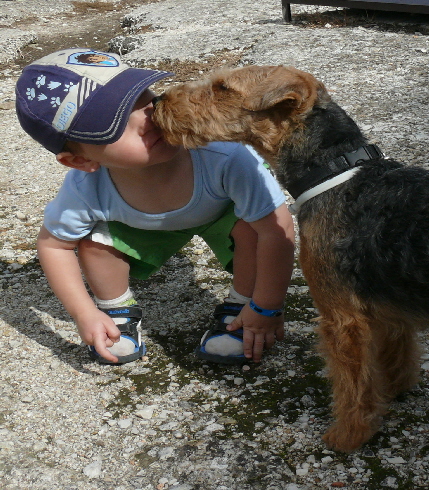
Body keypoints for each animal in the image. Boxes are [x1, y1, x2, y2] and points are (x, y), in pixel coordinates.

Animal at [151, 65, 428, 452]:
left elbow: (352, 383)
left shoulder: (342, 316)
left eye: (222, 87)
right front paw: (395, 389)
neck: (334, 169)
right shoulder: (385, 303)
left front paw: (348, 435)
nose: (158, 101)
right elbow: (395, 356)